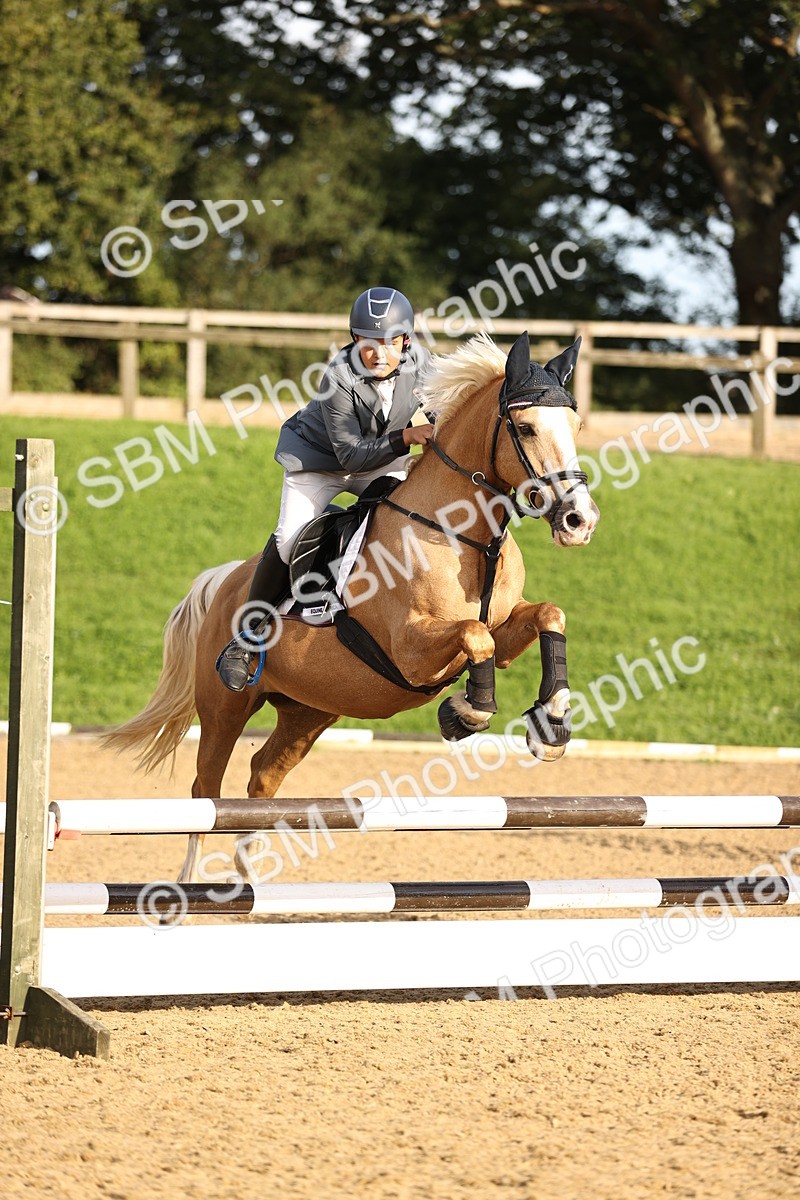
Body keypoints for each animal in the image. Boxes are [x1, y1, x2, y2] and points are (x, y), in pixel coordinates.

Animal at [102, 330, 599, 881]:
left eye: (577, 426)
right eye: (527, 427)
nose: (579, 520)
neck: (465, 535)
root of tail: (224, 580)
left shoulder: (506, 630)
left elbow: (546, 615)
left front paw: (551, 721)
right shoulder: (413, 651)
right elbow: (475, 636)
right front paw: (466, 712)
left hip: (309, 711)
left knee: (262, 778)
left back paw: (247, 880)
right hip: (225, 706)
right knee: (205, 794)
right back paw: (189, 887)